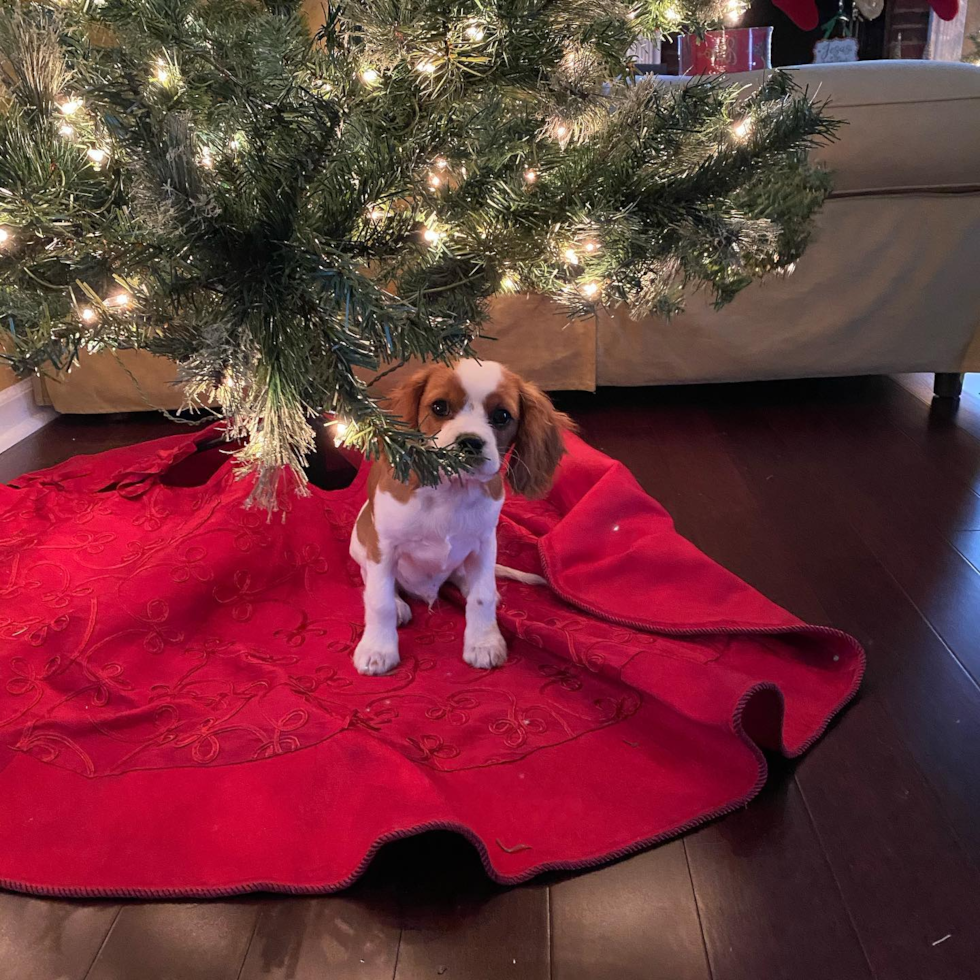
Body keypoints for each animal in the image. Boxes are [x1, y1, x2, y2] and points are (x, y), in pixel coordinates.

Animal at [348, 358, 572, 672]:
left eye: (502, 415)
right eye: (439, 407)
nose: (469, 442)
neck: (451, 491)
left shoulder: (485, 543)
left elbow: (482, 595)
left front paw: (483, 642)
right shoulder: (383, 546)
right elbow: (379, 601)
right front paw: (378, 648)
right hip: (359, 543)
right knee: (372, 580)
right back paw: (400, 604)